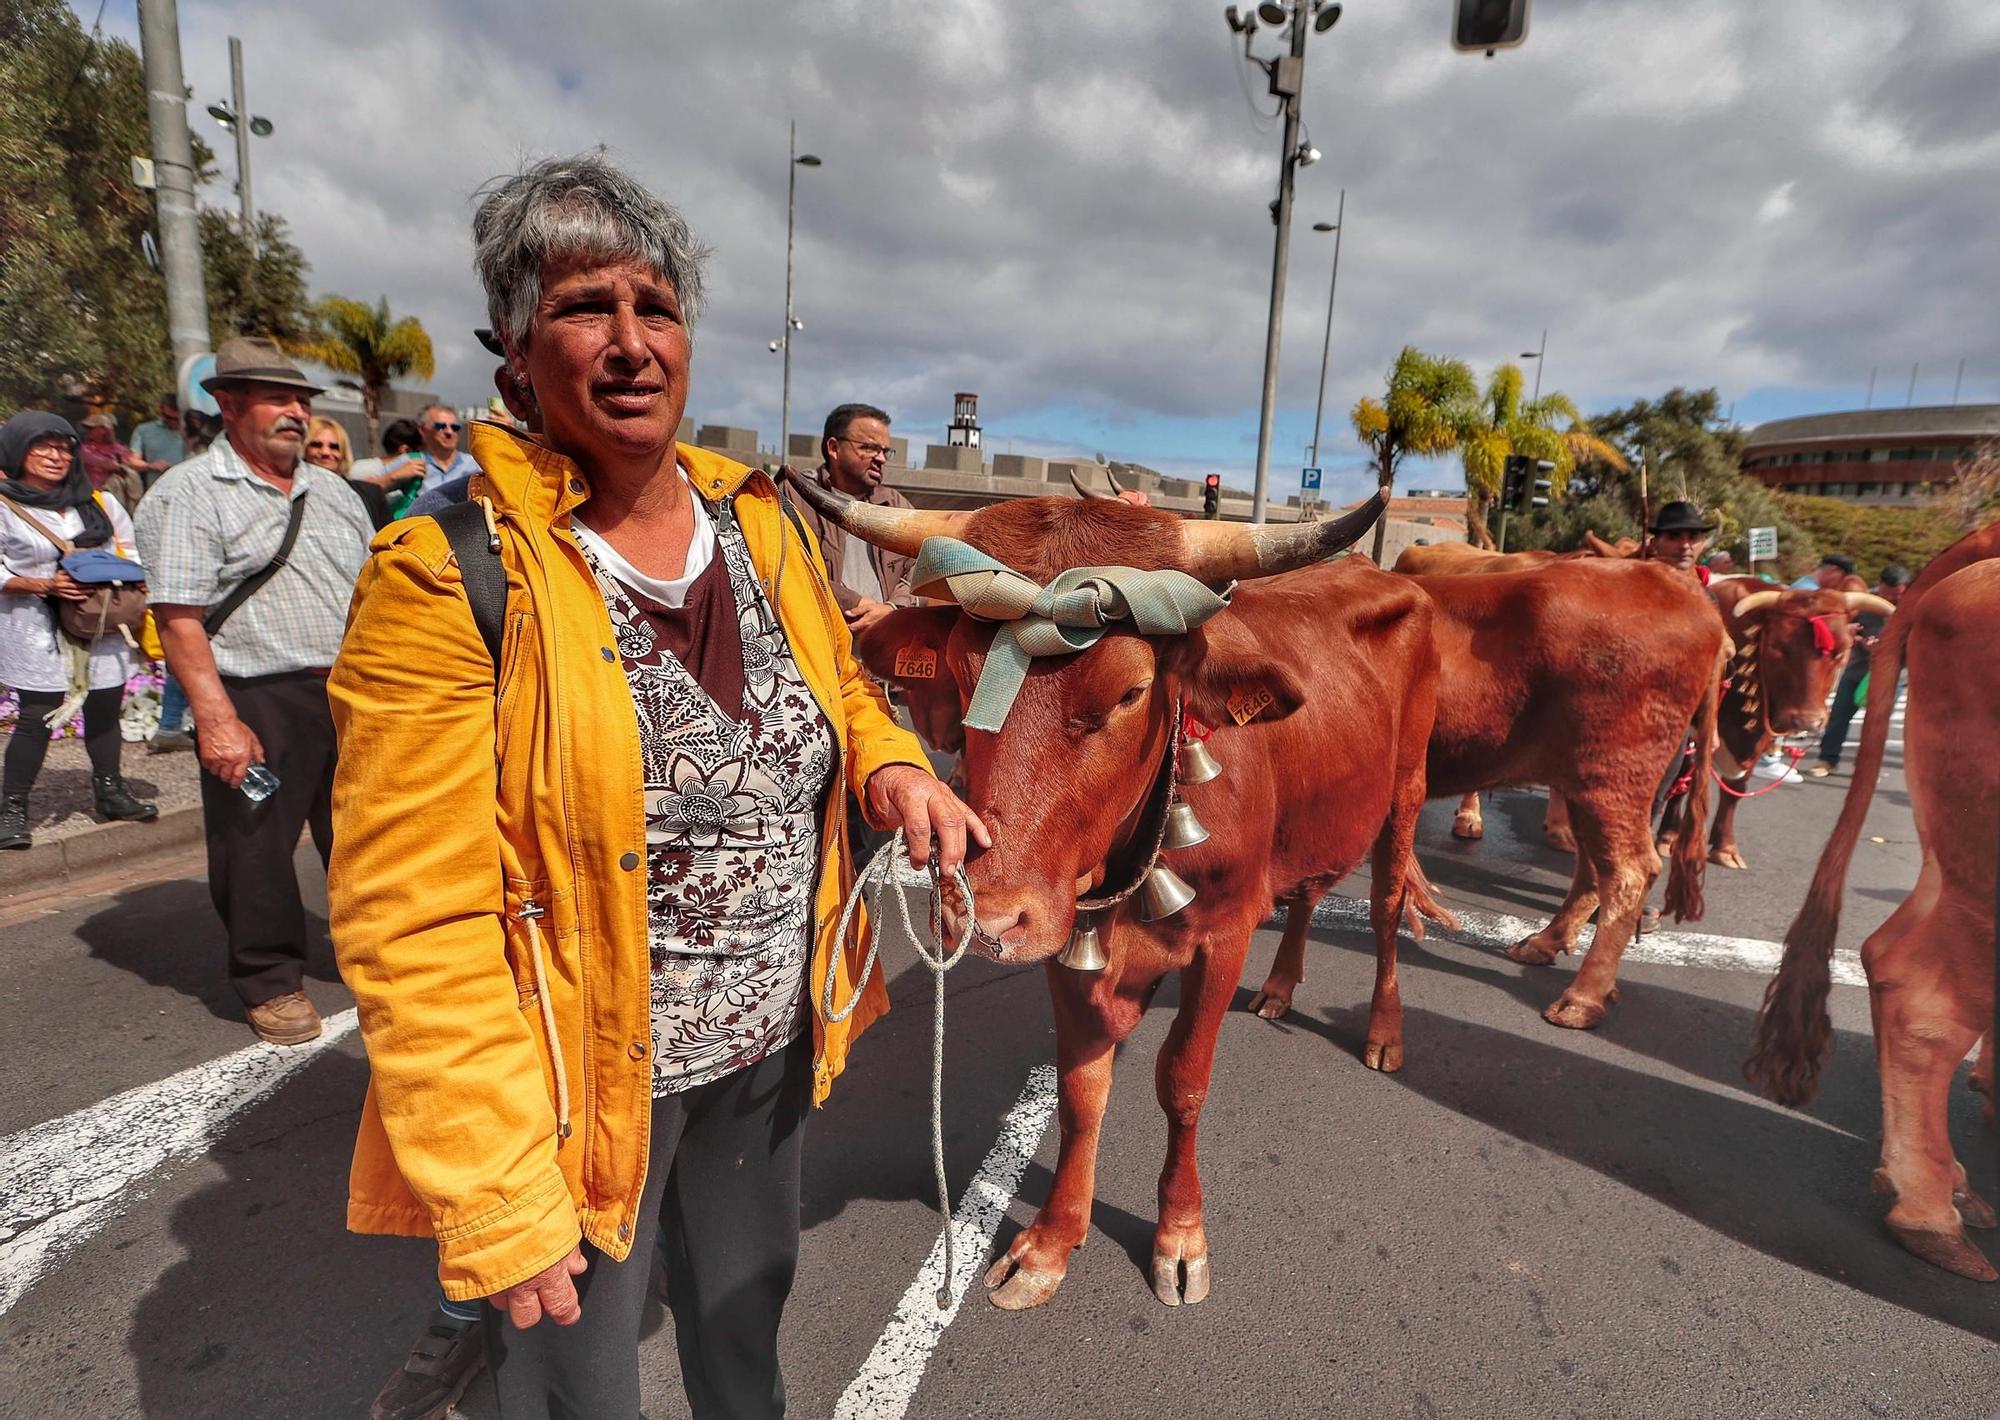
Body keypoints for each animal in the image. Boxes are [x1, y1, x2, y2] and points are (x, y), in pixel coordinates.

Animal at [812, 484, 1440, 1304]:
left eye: (1133, 691)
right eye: (959, 669)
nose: (985, 914)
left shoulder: (1223, 937)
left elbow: (1184, 1081)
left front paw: (1180, 1234)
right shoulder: (1064, 941)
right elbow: (1082, 1090)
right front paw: (1050, 1241)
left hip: (1409, 787)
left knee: (1389, 904)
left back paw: (1384, 1030)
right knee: (1306, 891)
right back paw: (1279, 987)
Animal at [1256, 564, 1728, 1032]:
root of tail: (1679, 584)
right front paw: (1280, 987)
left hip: (1614, 779)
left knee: (1629, 873)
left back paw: (1582, 998)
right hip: (1587, 785)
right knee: (1593, 867)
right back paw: (1546, 943)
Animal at [1664, 576, 1896, 868]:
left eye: (1840, 652)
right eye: (1779, 648)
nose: (1808, 721)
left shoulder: (1757, 739)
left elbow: (1736, 787)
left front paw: (1725, 847)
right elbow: (1683, 772)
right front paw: (1669, 836)